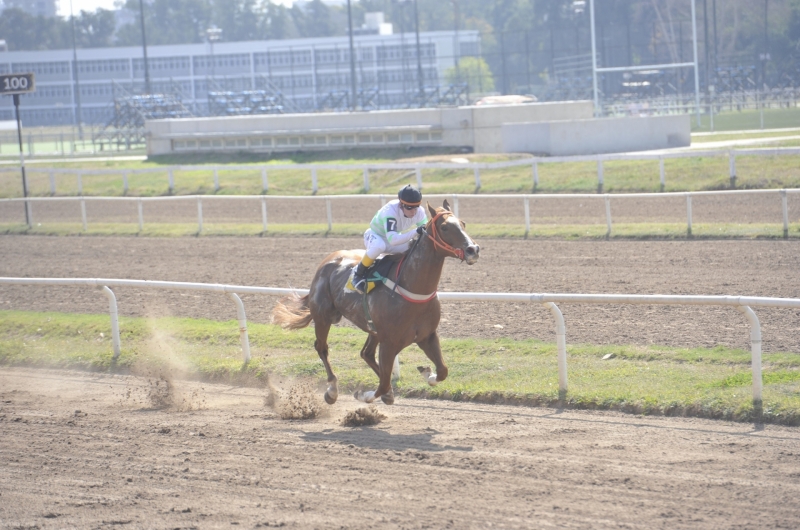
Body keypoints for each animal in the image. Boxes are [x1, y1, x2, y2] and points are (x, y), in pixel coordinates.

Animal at [272, 200, 478, 402]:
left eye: (463, 223)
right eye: (444, 227)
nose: (473, 249)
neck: (412, 290)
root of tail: (328, 260)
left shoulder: (427, 336)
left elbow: (442, 371)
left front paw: (427, 373)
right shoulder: (389, 343)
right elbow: (383, 383)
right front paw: (365, 395)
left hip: (372, 328)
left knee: (366, 354)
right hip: (323, 317)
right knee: (322, 347)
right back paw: (332, 389)